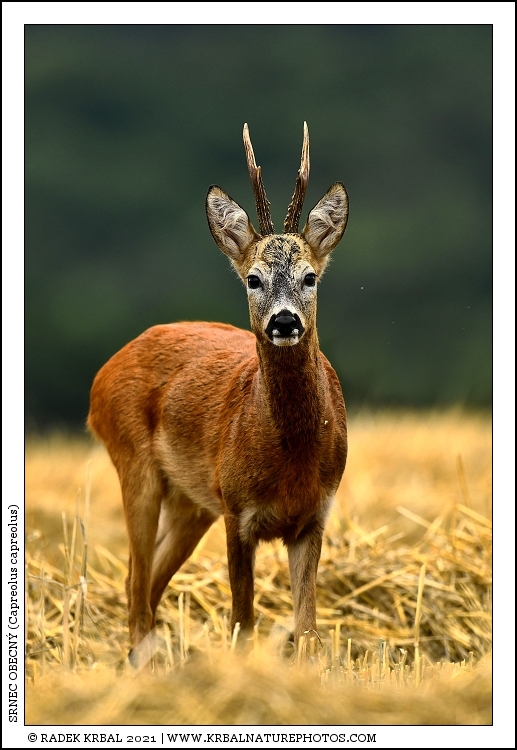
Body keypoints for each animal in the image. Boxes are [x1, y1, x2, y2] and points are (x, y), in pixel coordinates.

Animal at [87, 123, 349, 666]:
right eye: (253, 278)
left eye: (310, 276)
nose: (285, 321)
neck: (292, 459)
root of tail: (105, 371)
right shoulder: (238, 511)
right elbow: (242, 622)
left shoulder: (314, 515)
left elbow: (309, 632)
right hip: (135, 465)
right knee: (135, 583)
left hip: (193, 503)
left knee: (146, 580)